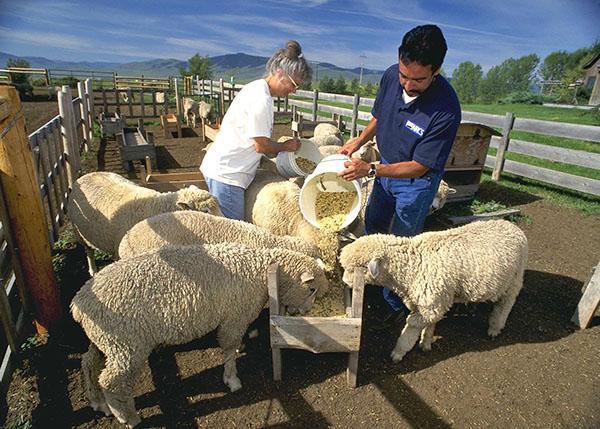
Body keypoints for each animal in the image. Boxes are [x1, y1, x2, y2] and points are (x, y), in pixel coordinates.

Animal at [67, 169, 223, 272]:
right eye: (206, 211)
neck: (158, 207)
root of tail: (85, 175)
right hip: (79, 232)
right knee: (89, 251)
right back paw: (93, 270)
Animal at [72, 242, 330, 426]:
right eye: (311, 288)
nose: (307, 311)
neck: (259, 269)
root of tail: (78, 304)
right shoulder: (234, 316)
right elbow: (228, 347)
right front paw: (232, 379)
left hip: (107, 341)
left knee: (88, 363)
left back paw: (98, 402)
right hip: (127, 345)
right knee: (111, 381)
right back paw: (127, 417)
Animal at [340, 219, 528, 362]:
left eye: (358, 268)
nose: (344, 282)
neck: (413, 265)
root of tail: (515, 228)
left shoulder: (430, 305)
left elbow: (410, 330)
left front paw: (398, 353)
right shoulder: (432, 302)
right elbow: (430, 324)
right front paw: (425, 342)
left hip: (515, 279)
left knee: (505, 305)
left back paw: (495, 328)